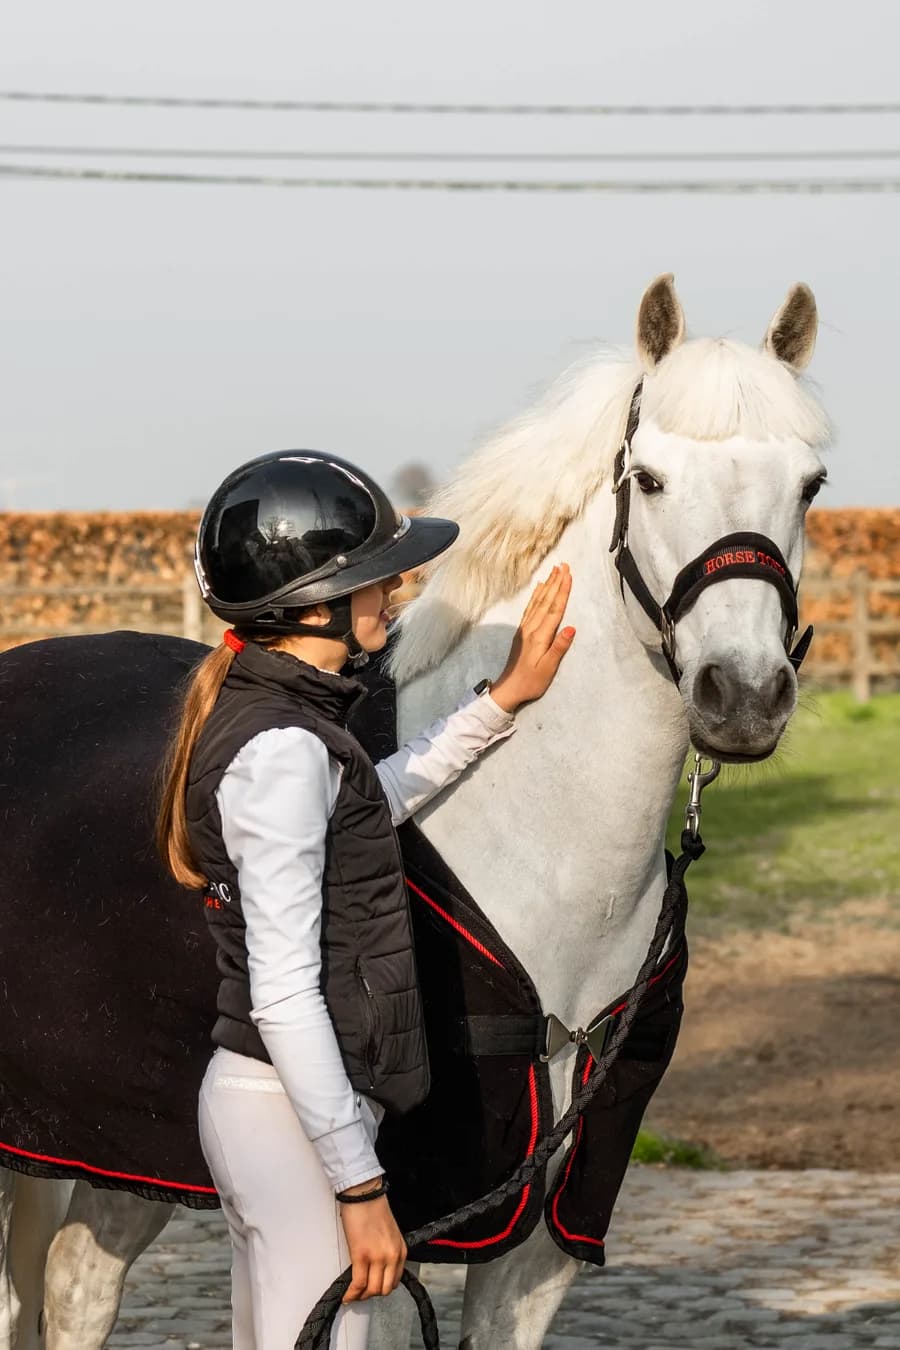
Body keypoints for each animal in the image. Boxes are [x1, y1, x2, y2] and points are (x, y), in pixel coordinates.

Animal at [0, 274, 828, 1349]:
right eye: (647, 479)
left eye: (809, 485)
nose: (744, 694)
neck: (539, 853)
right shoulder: (403, 1241)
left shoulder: (542, 1233)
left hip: (126, 1148)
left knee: (74, 1284)